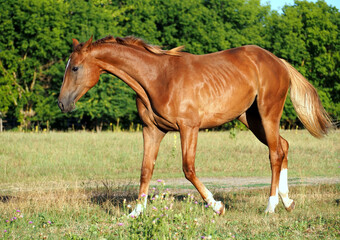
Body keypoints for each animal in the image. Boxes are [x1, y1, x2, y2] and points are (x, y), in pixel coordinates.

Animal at [57, 35, 330, 216]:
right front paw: (136, 212)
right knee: (283, 147)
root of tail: (278, 61)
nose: (62, 103)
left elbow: (188, 168)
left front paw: (217, 206)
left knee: (275, 153)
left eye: (75, 67)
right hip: (251, 118)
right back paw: (287, 201)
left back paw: (271, 205)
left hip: (267, 114)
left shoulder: (189, 127)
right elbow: (146, 169)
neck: (157, 78)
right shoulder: (152, 130)